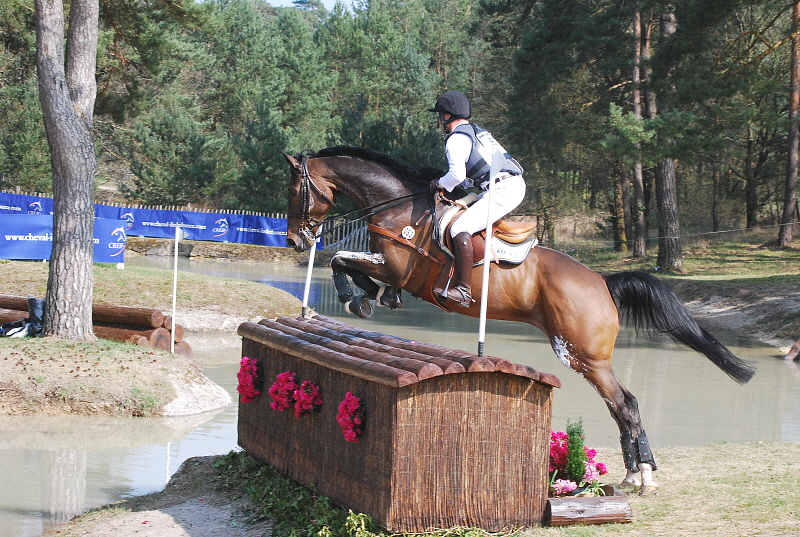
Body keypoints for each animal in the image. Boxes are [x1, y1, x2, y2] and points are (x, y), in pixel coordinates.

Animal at [282, 146, 756, 494]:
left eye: (293, 191)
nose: (295, 240)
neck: (398, 207)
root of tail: (602, 282)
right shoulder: (390, 268)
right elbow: (350, 265)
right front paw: (368, 298)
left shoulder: (397, 267)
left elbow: (341, 260)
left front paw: (355, 299)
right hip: (586, 358)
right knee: (623, 405)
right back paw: (632, 473)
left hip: (582, 355)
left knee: (625, 404)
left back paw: (643, 476)